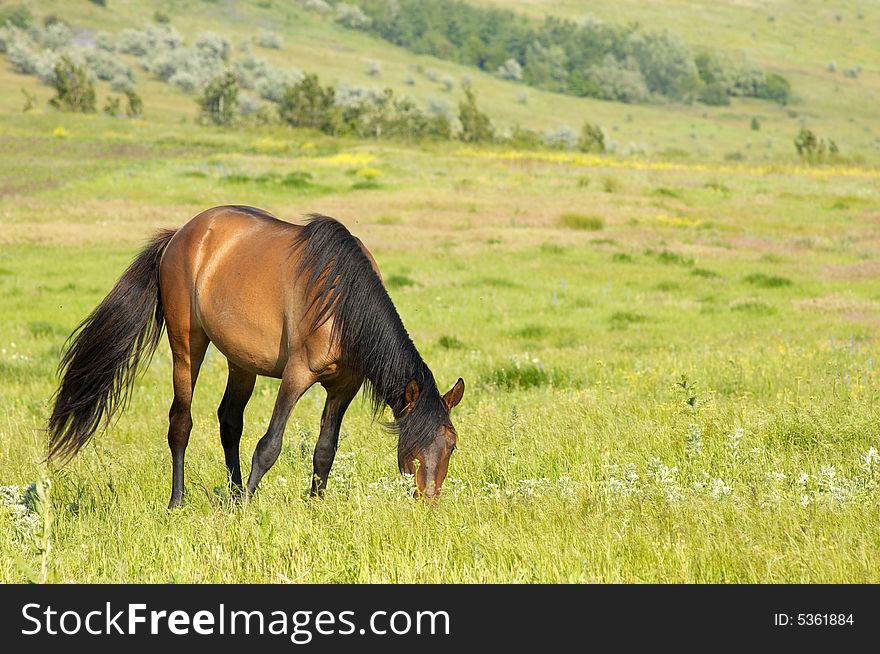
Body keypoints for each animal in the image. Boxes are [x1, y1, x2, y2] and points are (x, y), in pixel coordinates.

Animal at [47, 205, 464, 508]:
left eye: (451, 444)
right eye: (412, 443)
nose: (429, 502)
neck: (341, 303)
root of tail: (180, 235)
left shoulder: (342, 387)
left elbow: (325, 450)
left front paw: (313, 506)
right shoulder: (297, 375)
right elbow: (269, 446)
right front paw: (248, 506)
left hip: (242, 362)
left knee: (230, 422)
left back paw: (231, 494)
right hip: (187, 346)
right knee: (180, 423)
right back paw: (178, 501)